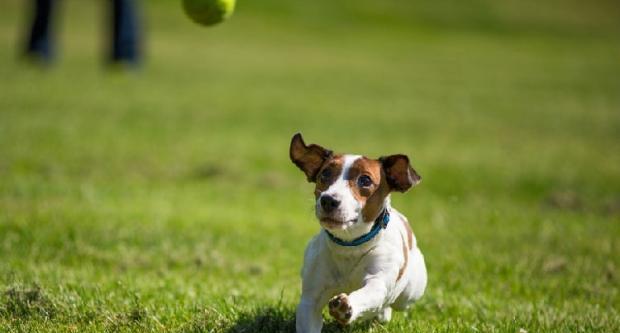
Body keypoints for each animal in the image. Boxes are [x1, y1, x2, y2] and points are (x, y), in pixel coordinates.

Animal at [290, 133, 426, 332]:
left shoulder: (378, 281)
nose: (328, 200)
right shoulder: (310, 300)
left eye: (365, 180)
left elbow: (371, 292)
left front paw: (345, 306)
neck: (349, 246)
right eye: (325, 174)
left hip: (410, 294)